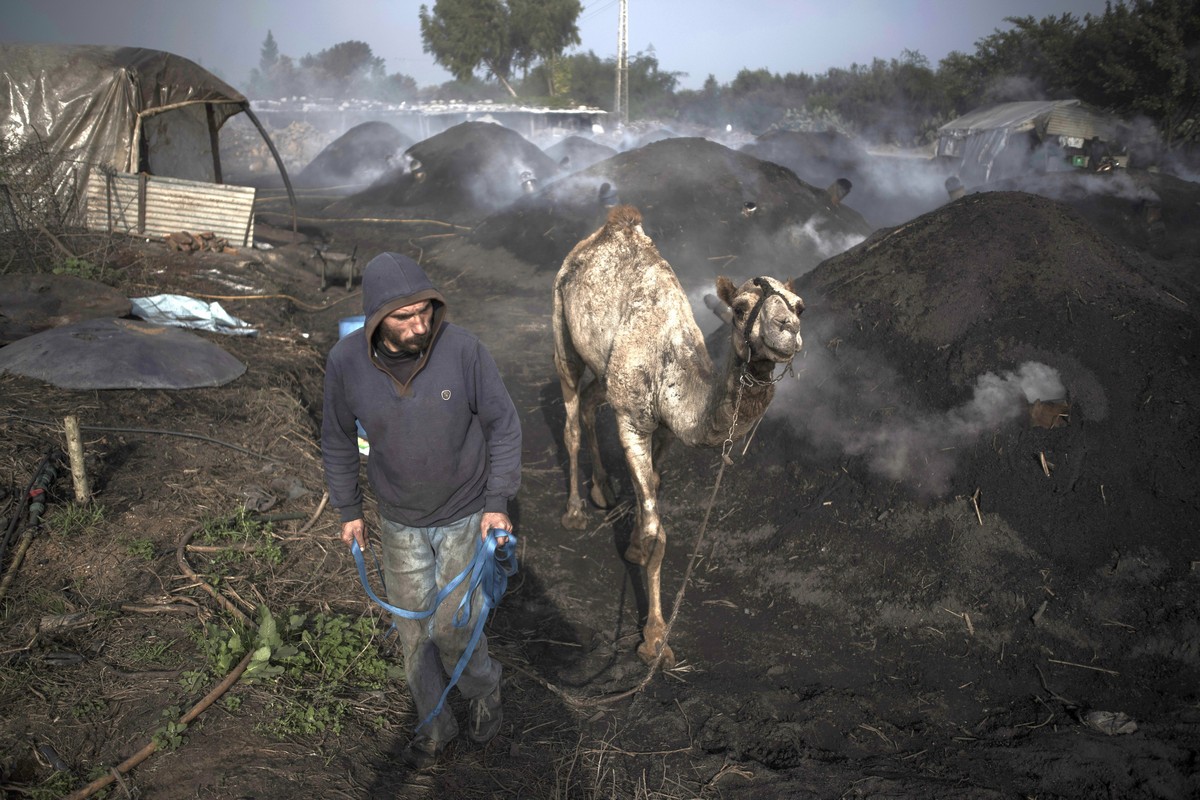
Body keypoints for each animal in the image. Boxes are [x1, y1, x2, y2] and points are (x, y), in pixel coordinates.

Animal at [552, 203, 806, 666]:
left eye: (800, 306)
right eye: (740, 308)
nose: (787, 329)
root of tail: (600, 233)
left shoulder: (667, 430)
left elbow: (652, 482)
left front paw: (633, 545)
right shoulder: (633, 421)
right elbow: (660, 532)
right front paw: (654, 639)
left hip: (606, 370)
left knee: (592, 402)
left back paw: (602, 490)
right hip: (561, 325)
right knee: (572, 417)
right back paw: (576, 511)